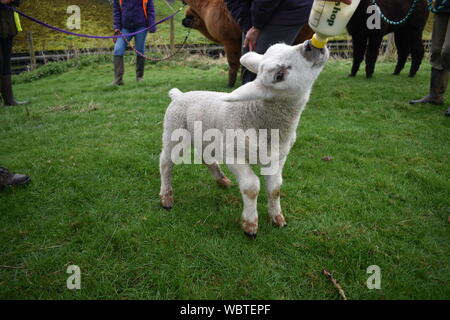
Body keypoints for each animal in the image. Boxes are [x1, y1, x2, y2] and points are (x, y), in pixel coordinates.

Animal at [160, 40, 328, 238]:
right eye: (279, 75)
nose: (310, 45)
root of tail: (179, 95)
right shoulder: (234, 155)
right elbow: (252, 187)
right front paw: (250, 224)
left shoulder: (278, 157)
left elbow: (275, 188)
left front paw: (278, 218)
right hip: (174, 131)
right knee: (166, 163)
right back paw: (166, 197)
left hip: (205, 136)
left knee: (206, 157)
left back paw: (222, 180)